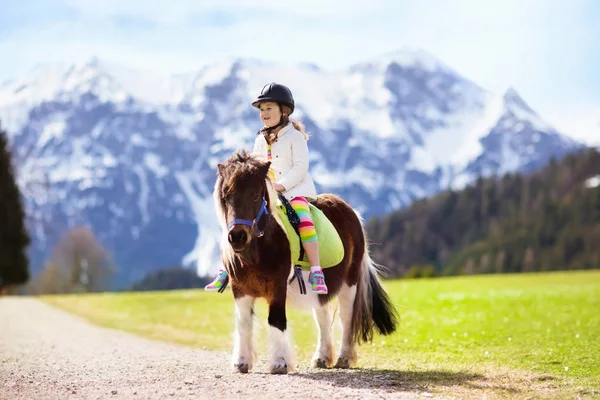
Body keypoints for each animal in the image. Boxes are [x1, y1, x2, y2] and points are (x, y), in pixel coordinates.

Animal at [213, 150, 400, 376]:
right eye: (226, 196)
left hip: (350, 283)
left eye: (255, 195)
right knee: (323, 317)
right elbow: (244, 323)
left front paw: (280, 363)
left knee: (346, 318)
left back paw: (344, 358)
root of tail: (351, 211)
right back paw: (322, 358)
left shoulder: (277, 288)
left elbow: (276, 321)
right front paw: (241, 363)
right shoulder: (240, 289)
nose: (237, 237)